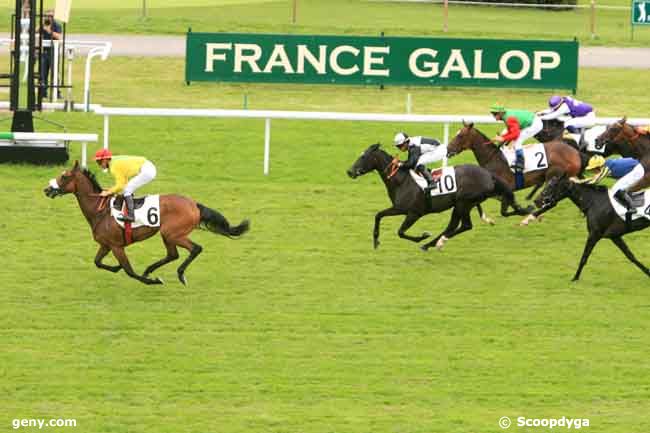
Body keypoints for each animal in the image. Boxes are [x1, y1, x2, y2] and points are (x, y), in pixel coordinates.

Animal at [41, 160, 248, 286]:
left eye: (64, 176)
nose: (47, 189)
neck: (100, 211)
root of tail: (194, 204)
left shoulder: (116, 246)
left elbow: (129, 271)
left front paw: (153, 281)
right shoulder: (106, 245)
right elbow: (98, 262)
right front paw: (116, 268)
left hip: (172, 233)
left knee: (195, 249)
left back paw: (179, 274)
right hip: (168, 235)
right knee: (173, 254)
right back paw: (150, 270)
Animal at [344, 143, 528, 250]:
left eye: (363, 156)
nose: (350, 172)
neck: (401, 180)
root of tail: (489, 175)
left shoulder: (413, 212)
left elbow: (401, 232)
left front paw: (423, 236)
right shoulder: (399, 208)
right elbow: (378, 215)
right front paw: (376, 241)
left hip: (463, 203)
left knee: (461, 225)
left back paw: (431, 243)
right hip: (462, 205)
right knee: (459, 226)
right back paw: (433, 244)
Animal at [446, 120, 588, 223]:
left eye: (460, 135)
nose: (448, 149)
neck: (494, 158)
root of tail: (575, 152)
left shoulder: (506, 189)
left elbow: (504, 211)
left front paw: (527, 210)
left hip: (554, 177)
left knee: (551, 201)